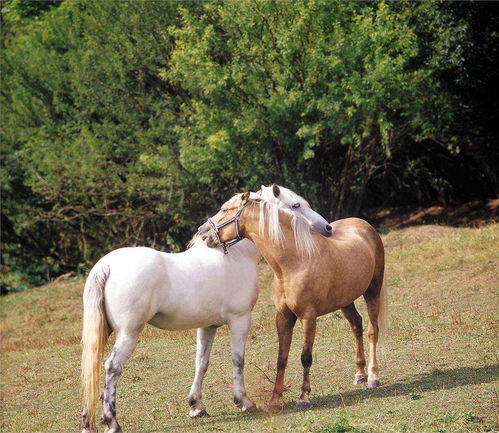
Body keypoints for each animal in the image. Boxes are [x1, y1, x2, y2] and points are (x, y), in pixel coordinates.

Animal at [82, 187, 332, 430]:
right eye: (296, 205)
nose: (327, 228)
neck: (236, 256)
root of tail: (107, 265)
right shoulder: (240, 320)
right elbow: (238, 359)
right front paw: (243, 402)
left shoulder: (208, 326)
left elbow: (201, 363)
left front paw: (196, 406)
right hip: (128, 332)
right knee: (112, 367)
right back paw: (112, 421)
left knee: (91, 370)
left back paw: (88, 422)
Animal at [201, 185, 388, 412]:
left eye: (225, 209)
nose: (203, 232)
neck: (294, 261)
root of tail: (363, 225)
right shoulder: (283, 317)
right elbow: (282, 358)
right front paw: (274, 401)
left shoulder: (308, 317)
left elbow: (305, 357)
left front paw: (303, 397)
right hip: (345, 300)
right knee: (356, 326)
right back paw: (360, 374)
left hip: (372, 291)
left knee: (371, 330)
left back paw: (373, 377)